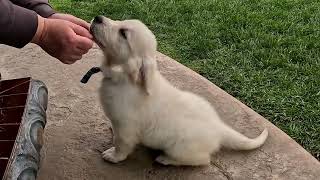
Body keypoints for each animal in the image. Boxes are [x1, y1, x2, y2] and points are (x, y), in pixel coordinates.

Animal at [89, 15, 268, 166]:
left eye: (123, 33)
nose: (97, 18)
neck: (124, 78)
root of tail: (218, 126)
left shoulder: (126, 126)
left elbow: (122, 145)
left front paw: (113, 156)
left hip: (181, 148)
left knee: (202, 160)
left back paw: (165, 159)